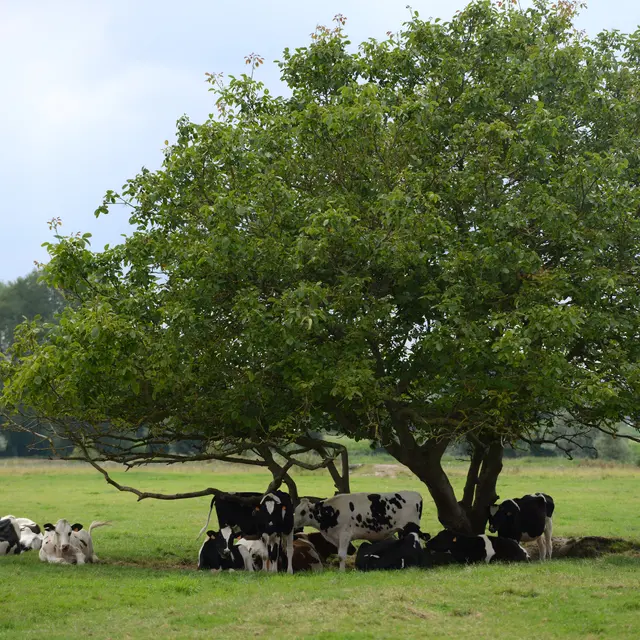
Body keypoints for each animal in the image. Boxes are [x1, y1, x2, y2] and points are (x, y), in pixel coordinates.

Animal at [294, 491, 423, 571]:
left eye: (303, 512)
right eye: (295, 510)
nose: (293, 524)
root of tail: (416, 494)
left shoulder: (345, 534)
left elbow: (341, 555)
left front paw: (341, 572)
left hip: (412, 528)